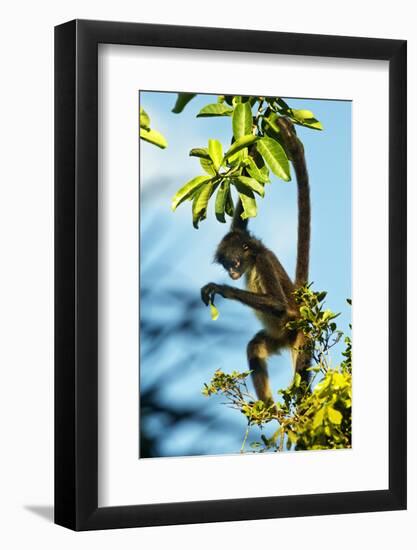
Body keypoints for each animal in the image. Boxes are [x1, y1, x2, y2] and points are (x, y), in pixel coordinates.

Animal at [200, 118, 310, 408]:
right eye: (227, 266)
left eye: (235, 264)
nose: (232, 274)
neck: (255, 256)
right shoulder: (239, 232)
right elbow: (242, 212)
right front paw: (252, 142)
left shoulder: (263, 262)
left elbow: (279, 305)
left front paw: (221, 289)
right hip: (276, 338)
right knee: (255, 347)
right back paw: (267, 407)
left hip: (301, 339)